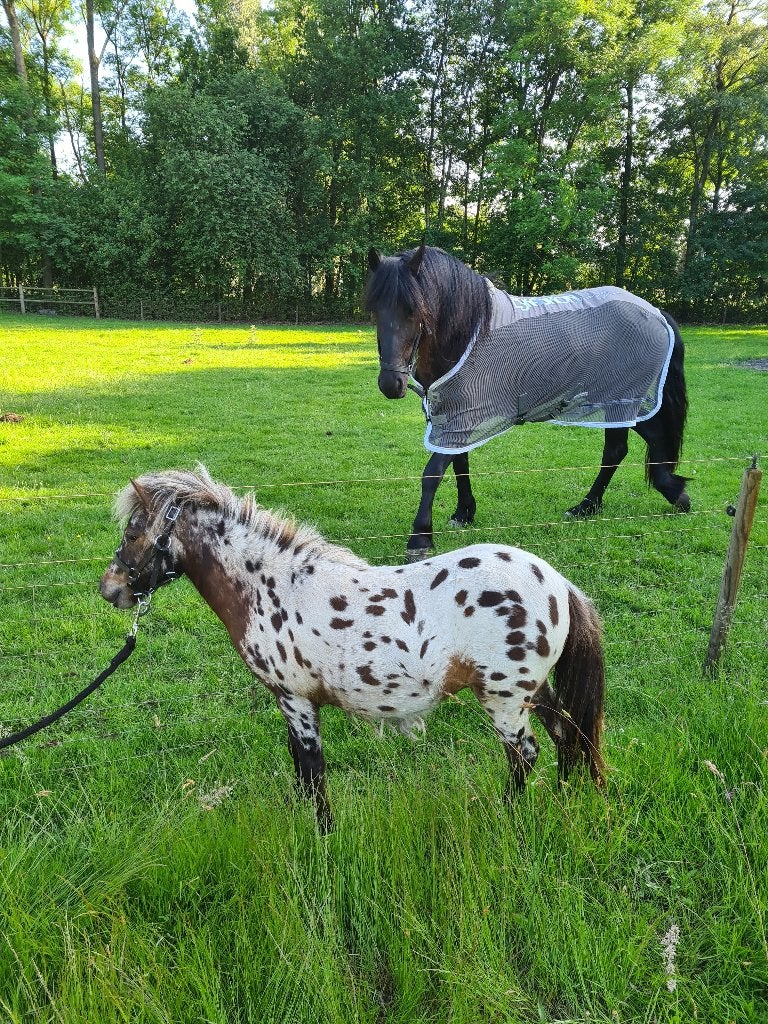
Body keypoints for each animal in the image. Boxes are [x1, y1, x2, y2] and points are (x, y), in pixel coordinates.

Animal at [100, 465, 606, 828]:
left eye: (132, 534)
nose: (110, 589)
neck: (271, 586)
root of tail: (558, 583)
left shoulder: (296, 700)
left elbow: (312, 772)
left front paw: (323, 837)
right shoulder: (294, 702)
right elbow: (302, 772)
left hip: (505, 699)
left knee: (526, 754)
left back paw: (502, 815)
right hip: (534, 692)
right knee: (568, 735)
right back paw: (563, 797)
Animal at [364, 243, 690, 561]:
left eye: (413, 309)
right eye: (375, 310)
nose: (391, 384)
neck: (470, 334)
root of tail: (656, 311)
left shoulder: (463, 416)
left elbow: (433, 472)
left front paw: (420, 539)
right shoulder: (455, 413)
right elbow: (459, 463)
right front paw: (464, 512)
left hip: (620, 399)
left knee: (620, 450)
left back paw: (599, 504)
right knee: (643, 442)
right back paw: (657, 495)